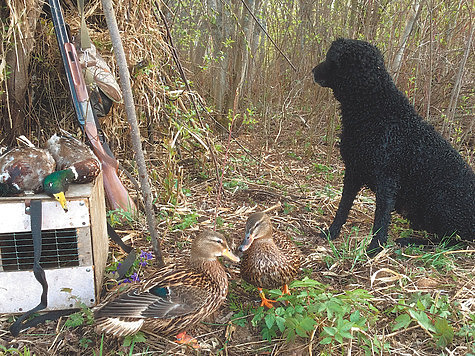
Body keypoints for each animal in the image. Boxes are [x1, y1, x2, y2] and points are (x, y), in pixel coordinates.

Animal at [314, 38, 474, 253]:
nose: (313, 71)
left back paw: (412, 241)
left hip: (440, 201)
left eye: (330, 58)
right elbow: (343, 206)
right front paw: (331, 233)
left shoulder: (387, 179)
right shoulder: (353, 171)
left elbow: (381, 218)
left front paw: (375, 248)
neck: (375, 109)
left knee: (452, 241)